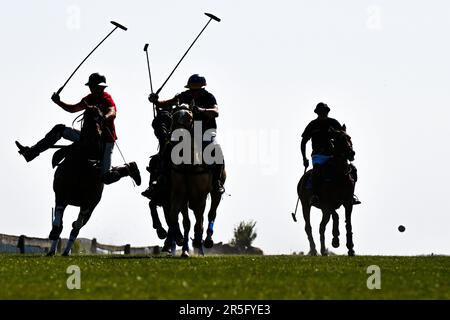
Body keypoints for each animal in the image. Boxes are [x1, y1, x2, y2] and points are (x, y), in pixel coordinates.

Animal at [46, 106, 105, 256]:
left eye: (101, 119)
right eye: (87, 119)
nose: (95, 140)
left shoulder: (88, 204)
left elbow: (76, 225)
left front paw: (66, 251)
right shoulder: (61, 196)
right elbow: (58, 224)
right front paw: (53, 240)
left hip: (91, 208)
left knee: (76, 226)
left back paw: (66, 251)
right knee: (61, 225)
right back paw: (53, 249)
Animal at [298, 125, 356, 258]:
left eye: (349, 137)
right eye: (339, 139)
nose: (352, 153)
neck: (340, 175)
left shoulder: (348, 203)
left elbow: (348, 223)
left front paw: (351, 248)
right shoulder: (327, 203)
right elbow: (336, 216)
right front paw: (335, 240)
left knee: (321, 226)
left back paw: (323, 250)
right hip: (305, 205)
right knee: (308, 227)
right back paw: (314, 250)